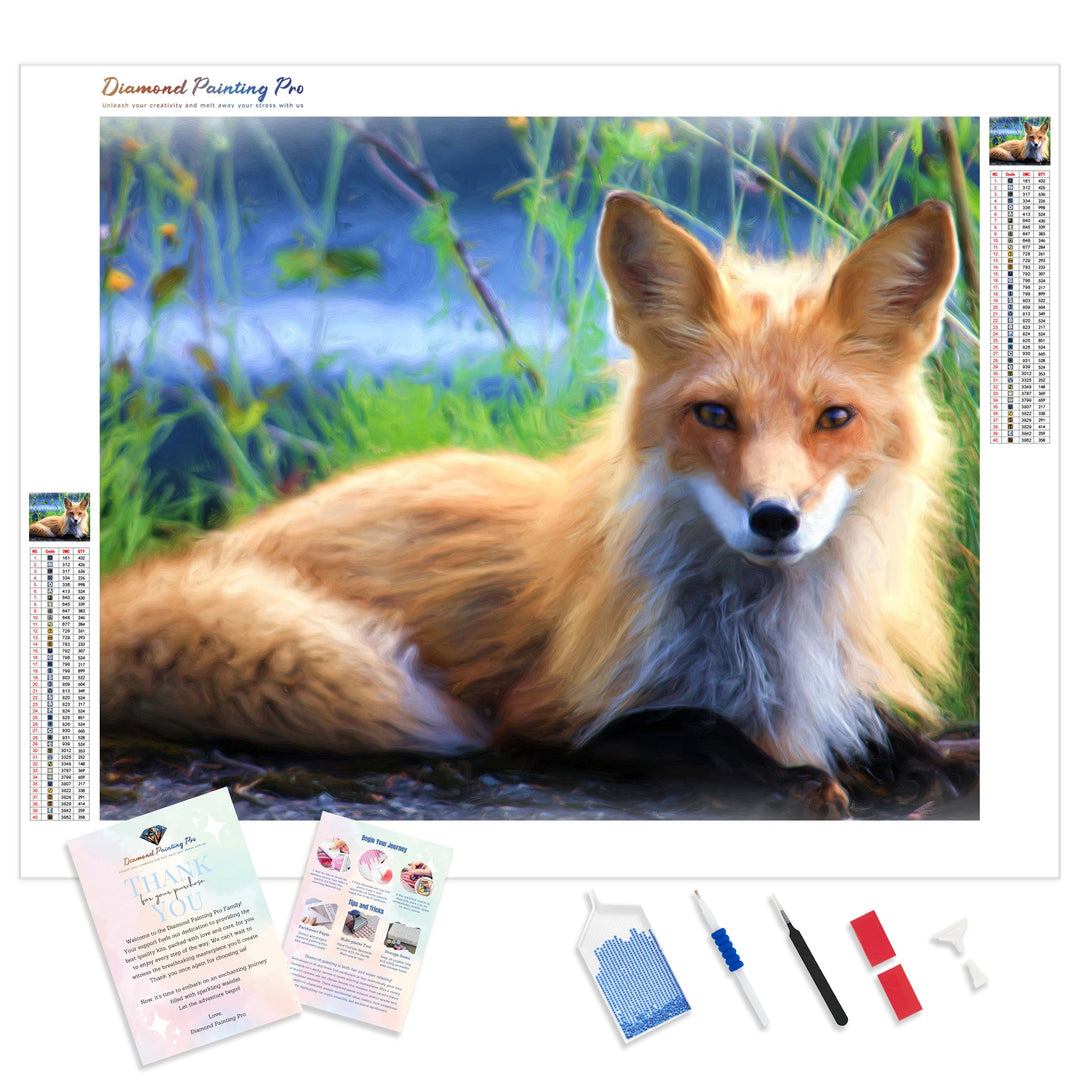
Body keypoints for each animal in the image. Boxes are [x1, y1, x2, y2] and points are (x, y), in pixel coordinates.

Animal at [100, 194, 963, 815]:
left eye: (834, 418)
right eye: (714, 414)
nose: (775, 518)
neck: (763, 640)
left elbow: (903, 737)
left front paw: (921, 764)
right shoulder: (545, 715)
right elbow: (695, 727)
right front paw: (796, 778)